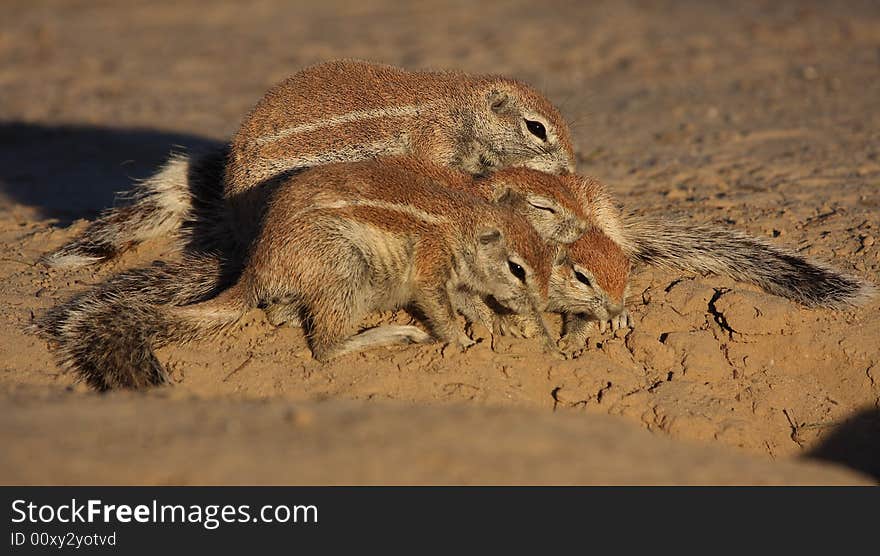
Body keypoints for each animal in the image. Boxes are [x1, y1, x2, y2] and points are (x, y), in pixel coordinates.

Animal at [37, 159, 560, 388]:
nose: (539, 312)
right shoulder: (431, 269)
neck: (465, 225)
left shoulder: (461, 279)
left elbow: (470, 301)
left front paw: (494, 325)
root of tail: (255, 269)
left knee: (281, 318)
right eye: (517, 269)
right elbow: (441, 309)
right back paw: (396, 335)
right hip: (344, 270)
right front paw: (461, 341)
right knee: (325, 347)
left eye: (548, 259)